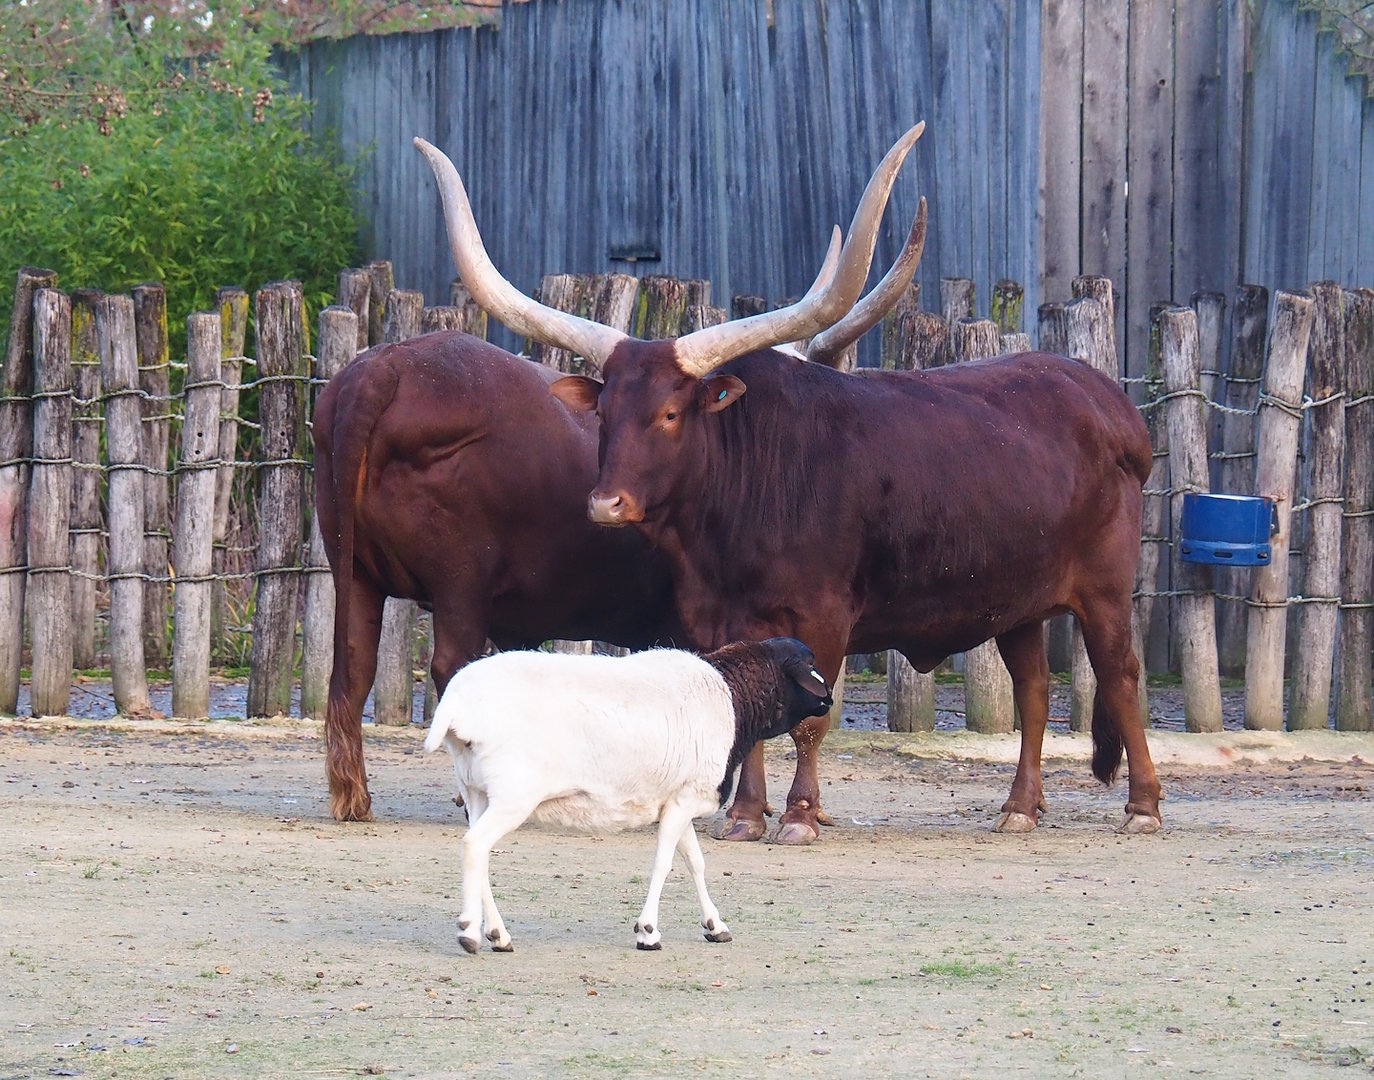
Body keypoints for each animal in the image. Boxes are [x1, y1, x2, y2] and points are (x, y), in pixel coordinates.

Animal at [312, 332, 689, 822]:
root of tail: (383, 367)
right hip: (460, 579)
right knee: (451, 665)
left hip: (355, 571)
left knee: (353, 667)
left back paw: (353, 795)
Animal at [414, 125, 1164, 845]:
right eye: (603, 412)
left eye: (671, 413)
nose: (606, 504)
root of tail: (1108, 400)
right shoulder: (722, 619)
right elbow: (744, 705)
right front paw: (746, 815)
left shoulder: (824, 616)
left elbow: (809, 720)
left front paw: (800, 815)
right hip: (1018, 601)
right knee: (1034, 688)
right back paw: (1021, 807)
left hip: (1103, 588)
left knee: (1121, 675)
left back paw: (1143, 806)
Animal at [423, 636, 833, 953]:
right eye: (808, 664)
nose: (828, 699)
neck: (733, 699)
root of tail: (456, 704)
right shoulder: (685, 800)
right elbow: (664, 864)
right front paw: (648, 933)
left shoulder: (678, 800)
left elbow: (695, 863)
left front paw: (715, 925)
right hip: (512, 796)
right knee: (475, 846)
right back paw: (469, 932)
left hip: (476, 792)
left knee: (480, 854)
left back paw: (498, 935)